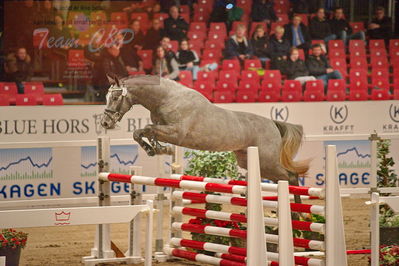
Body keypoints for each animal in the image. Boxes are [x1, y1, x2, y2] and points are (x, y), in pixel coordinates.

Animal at [101, 74, 310, 184]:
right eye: (106, 97)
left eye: (115, 97)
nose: (105, 123)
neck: (166, 98)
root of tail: (273, 124)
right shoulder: (164, 129)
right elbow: (140, 132)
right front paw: (153, 149)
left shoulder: (176, 133)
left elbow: (147, 129)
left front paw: (159, 149)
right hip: (253, 162)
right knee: (283, 178)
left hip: (268, 162)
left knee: (291, 176)